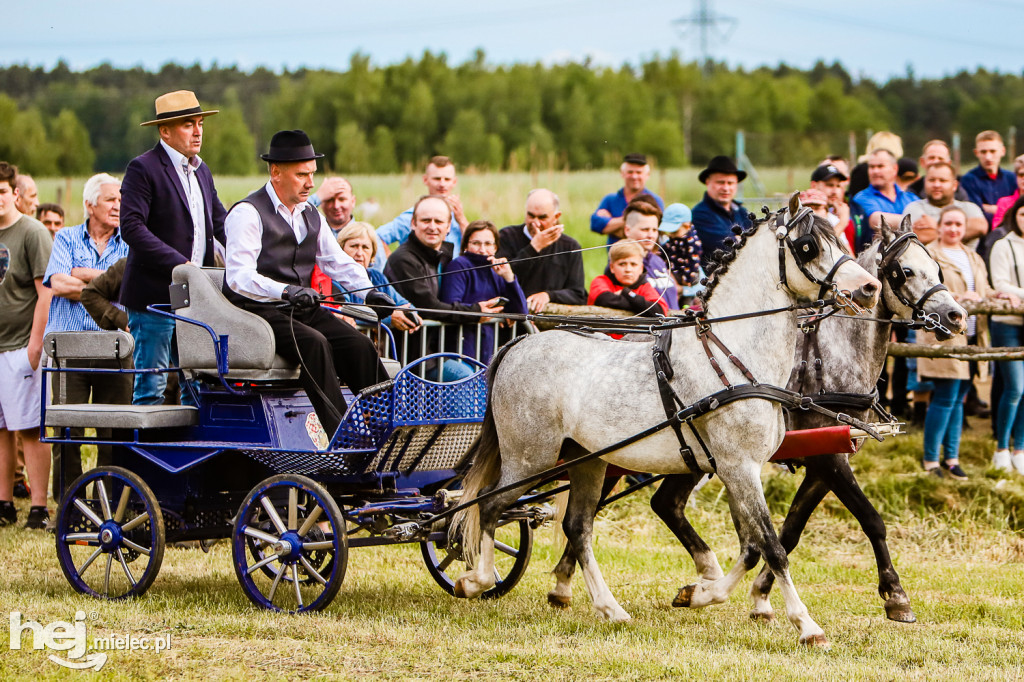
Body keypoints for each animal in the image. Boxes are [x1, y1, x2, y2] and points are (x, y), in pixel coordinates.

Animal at [454, 195, 880, 643]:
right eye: (808, 247)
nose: (870, 287)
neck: (734, 356)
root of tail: (519, 344)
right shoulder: (738, 467)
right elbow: (772, 546)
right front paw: (806, 625)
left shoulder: (737, 470)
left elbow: (752, 546)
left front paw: (700, 593)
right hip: (529, 459)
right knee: (492, 506)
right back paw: (477, 580)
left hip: (587, 461)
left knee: (578, 527)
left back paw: (610, 608)